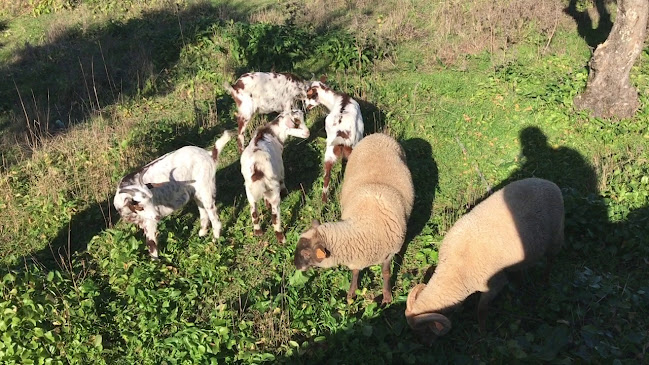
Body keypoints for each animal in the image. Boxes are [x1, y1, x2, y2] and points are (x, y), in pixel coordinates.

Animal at [240, 109, 308, 243]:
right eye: (297, 123)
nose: (307, 133)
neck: (271, 133)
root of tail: (257, 167)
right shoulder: (280, 167)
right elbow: (282, 179)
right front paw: (286, 193)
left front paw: (266, 204)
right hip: (273, 188)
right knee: (275, 215)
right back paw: (281, 238)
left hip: (249, 190)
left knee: (254, 211)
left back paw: (258, 232)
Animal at [292, 132, 410, 302]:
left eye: (307, 254)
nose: (295, 265)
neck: (364, 228)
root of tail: (377, 135)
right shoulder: (357, 257)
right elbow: (355, 273)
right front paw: (351, 295)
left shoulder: (389, 253)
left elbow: (386, 273)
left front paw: (387, 297)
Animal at [404, 176, 560, 336]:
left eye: (425, 331)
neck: (455, 268)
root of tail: (547, 182)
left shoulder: (494, 285)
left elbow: (481, 310)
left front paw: (483, 331)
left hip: (556, 237)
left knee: (551, 260)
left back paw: (545, 280)